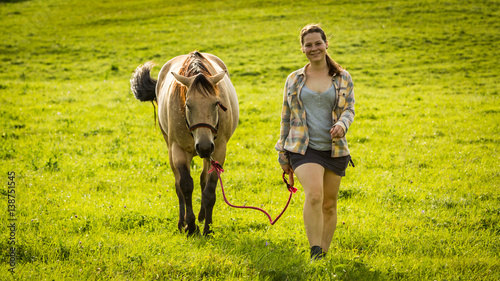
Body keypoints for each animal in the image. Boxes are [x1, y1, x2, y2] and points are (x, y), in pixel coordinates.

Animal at [129, 50, 238, 234]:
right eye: (187, 105)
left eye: (216, 103)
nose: (204, 147)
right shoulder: (178, 150)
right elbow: (185, 186)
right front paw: (190, 226)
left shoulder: (218, 150)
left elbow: (209, 189)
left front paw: (207, 228)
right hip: (170, 146)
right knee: (178, 183)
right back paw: (182, 222)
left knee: (203, 179)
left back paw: (201, 216)